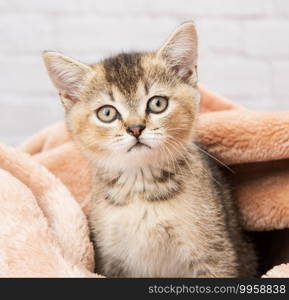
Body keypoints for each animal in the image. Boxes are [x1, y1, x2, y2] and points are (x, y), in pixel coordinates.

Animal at [42, 22, 254, 278]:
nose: (135, 128)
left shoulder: (215, 256)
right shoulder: (110, 259)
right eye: (107, 113)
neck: (141, 187)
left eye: (157, 103)